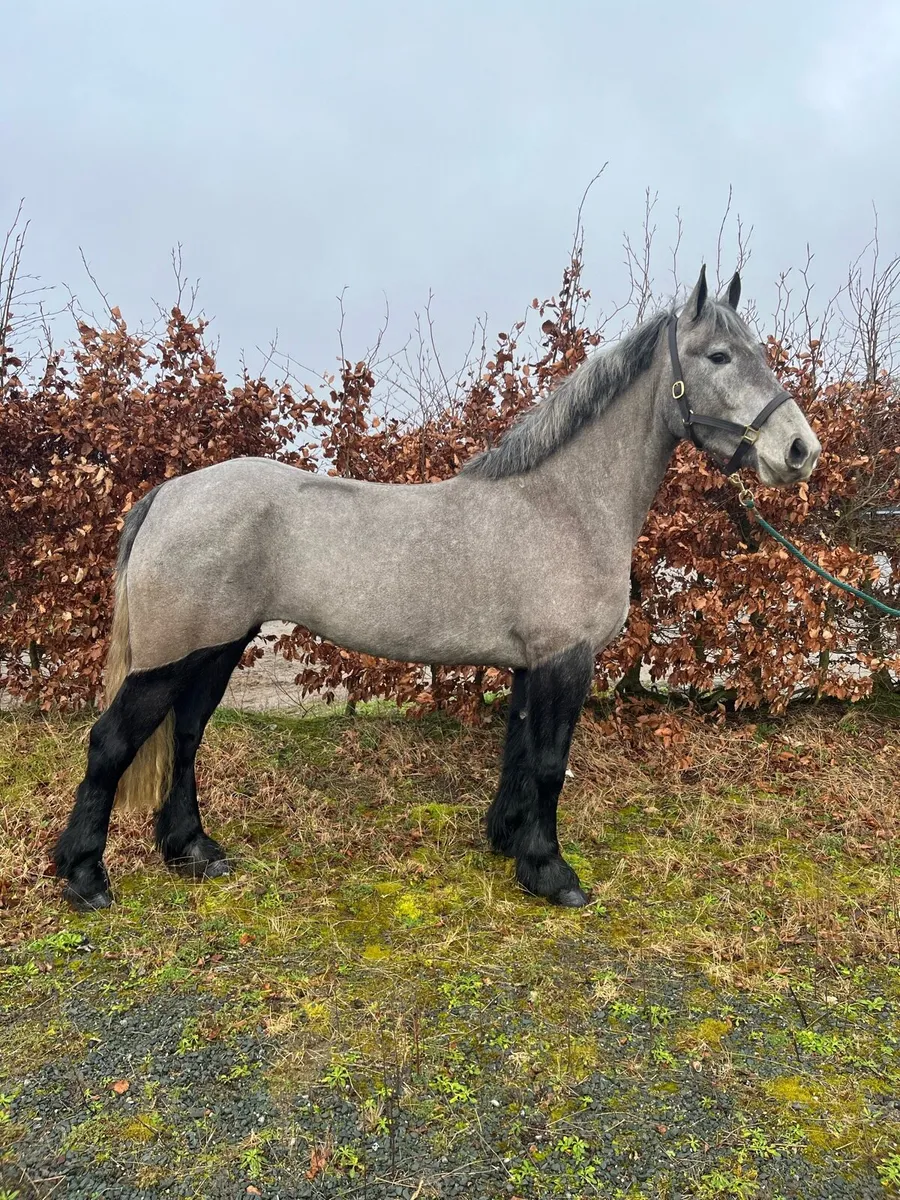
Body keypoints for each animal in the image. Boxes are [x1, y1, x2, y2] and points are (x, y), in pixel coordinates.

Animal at [53, 266, 820, 912]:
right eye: (718, 357)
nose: (799, 450)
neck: (563, 504)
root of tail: (170, 494)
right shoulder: (564, 659)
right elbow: (550, 763)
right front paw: (553, 874)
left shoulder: (529, 664)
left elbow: (518, 754)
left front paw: (510, 843)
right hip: (172, 656)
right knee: (111, 743)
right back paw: (85, 877)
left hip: (218, 645)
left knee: (185, 736)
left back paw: (192, 850)